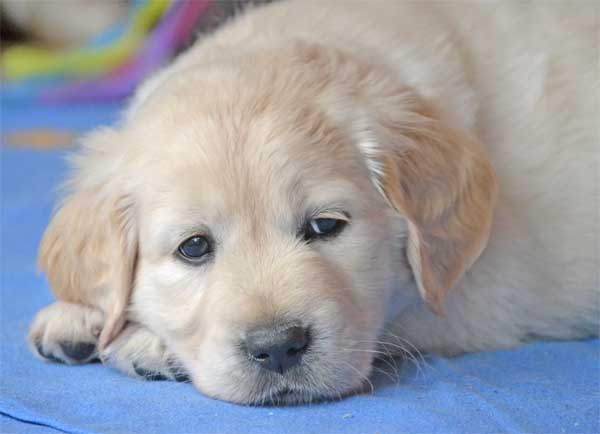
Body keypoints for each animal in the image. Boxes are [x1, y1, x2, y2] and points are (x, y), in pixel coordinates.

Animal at [28, 0, 598, 404]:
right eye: (193, 247)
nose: (277, 347)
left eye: (326, 227)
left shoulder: (485, 292)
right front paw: (78, 315)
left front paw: (143, 342)